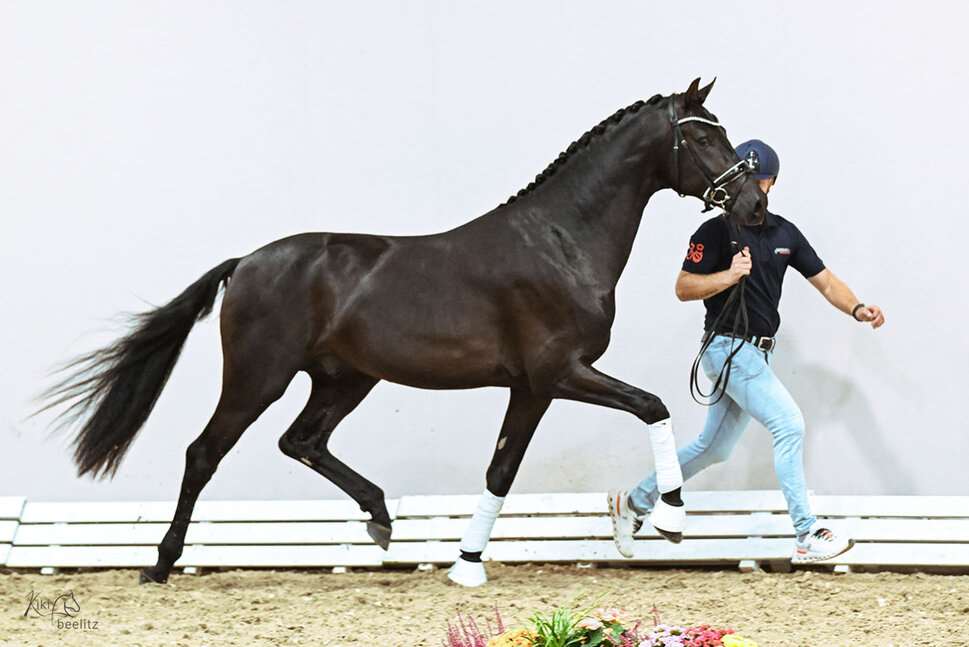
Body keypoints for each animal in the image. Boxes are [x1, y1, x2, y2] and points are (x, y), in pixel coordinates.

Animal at [38, 77, 765, 587]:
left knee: (301, 440)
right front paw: (670, 517)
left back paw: (381, 520)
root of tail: (246, 262)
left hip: (345, 380)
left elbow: (502, 468)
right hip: (257, 376)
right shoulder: (556, 373)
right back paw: (161, 563)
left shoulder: (531, 387)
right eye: (704, 138)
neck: (560, 241)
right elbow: (652, 405)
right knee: (203, 453)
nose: (755, 204)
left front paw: (465, 562)